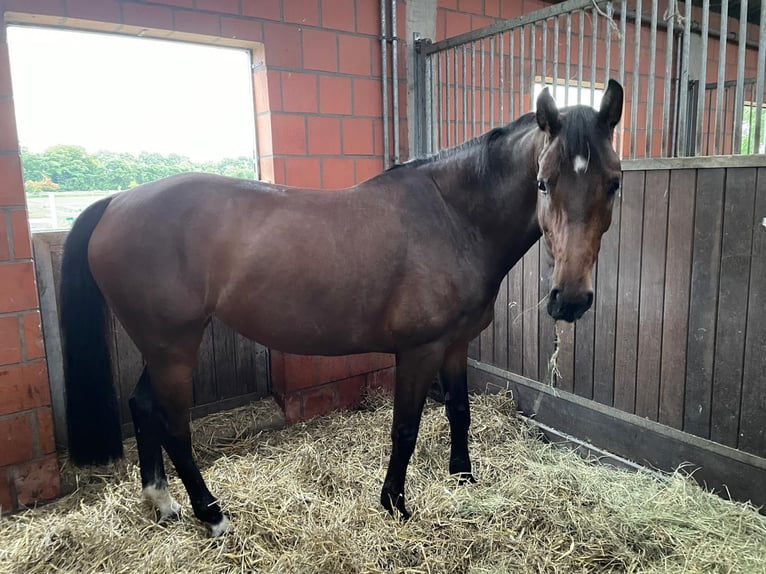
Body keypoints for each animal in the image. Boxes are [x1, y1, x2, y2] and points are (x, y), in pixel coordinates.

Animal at [59, 80, 623, 536]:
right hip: (175, 346)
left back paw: (163, 502)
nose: (570, 298)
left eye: (614, 182)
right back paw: (212, 514)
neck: (453, 218)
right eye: (543, 182)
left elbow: (459, 412)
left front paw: (463, 478)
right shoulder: (418, 352)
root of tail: (116, 201)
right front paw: (395, 504)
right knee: (174, 425)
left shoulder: (455, 346)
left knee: (142, 406)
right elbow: (405, 429)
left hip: (162, 346)